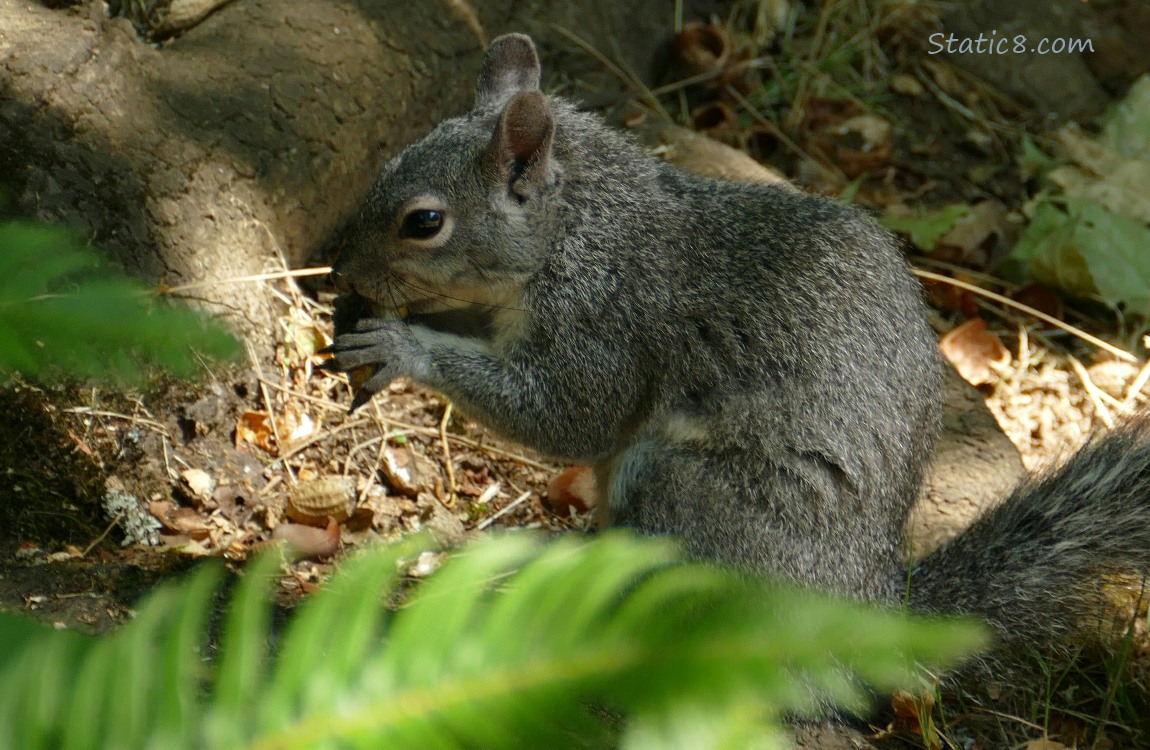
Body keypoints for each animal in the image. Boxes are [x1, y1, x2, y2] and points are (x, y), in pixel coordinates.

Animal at [319, 33, 1150, 657]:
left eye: (424, 222)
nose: (337, 267)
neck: (575, 229)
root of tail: (859, 609)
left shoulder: (607, 325)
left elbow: (569, 417)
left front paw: (401, 345)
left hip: (687, 492)